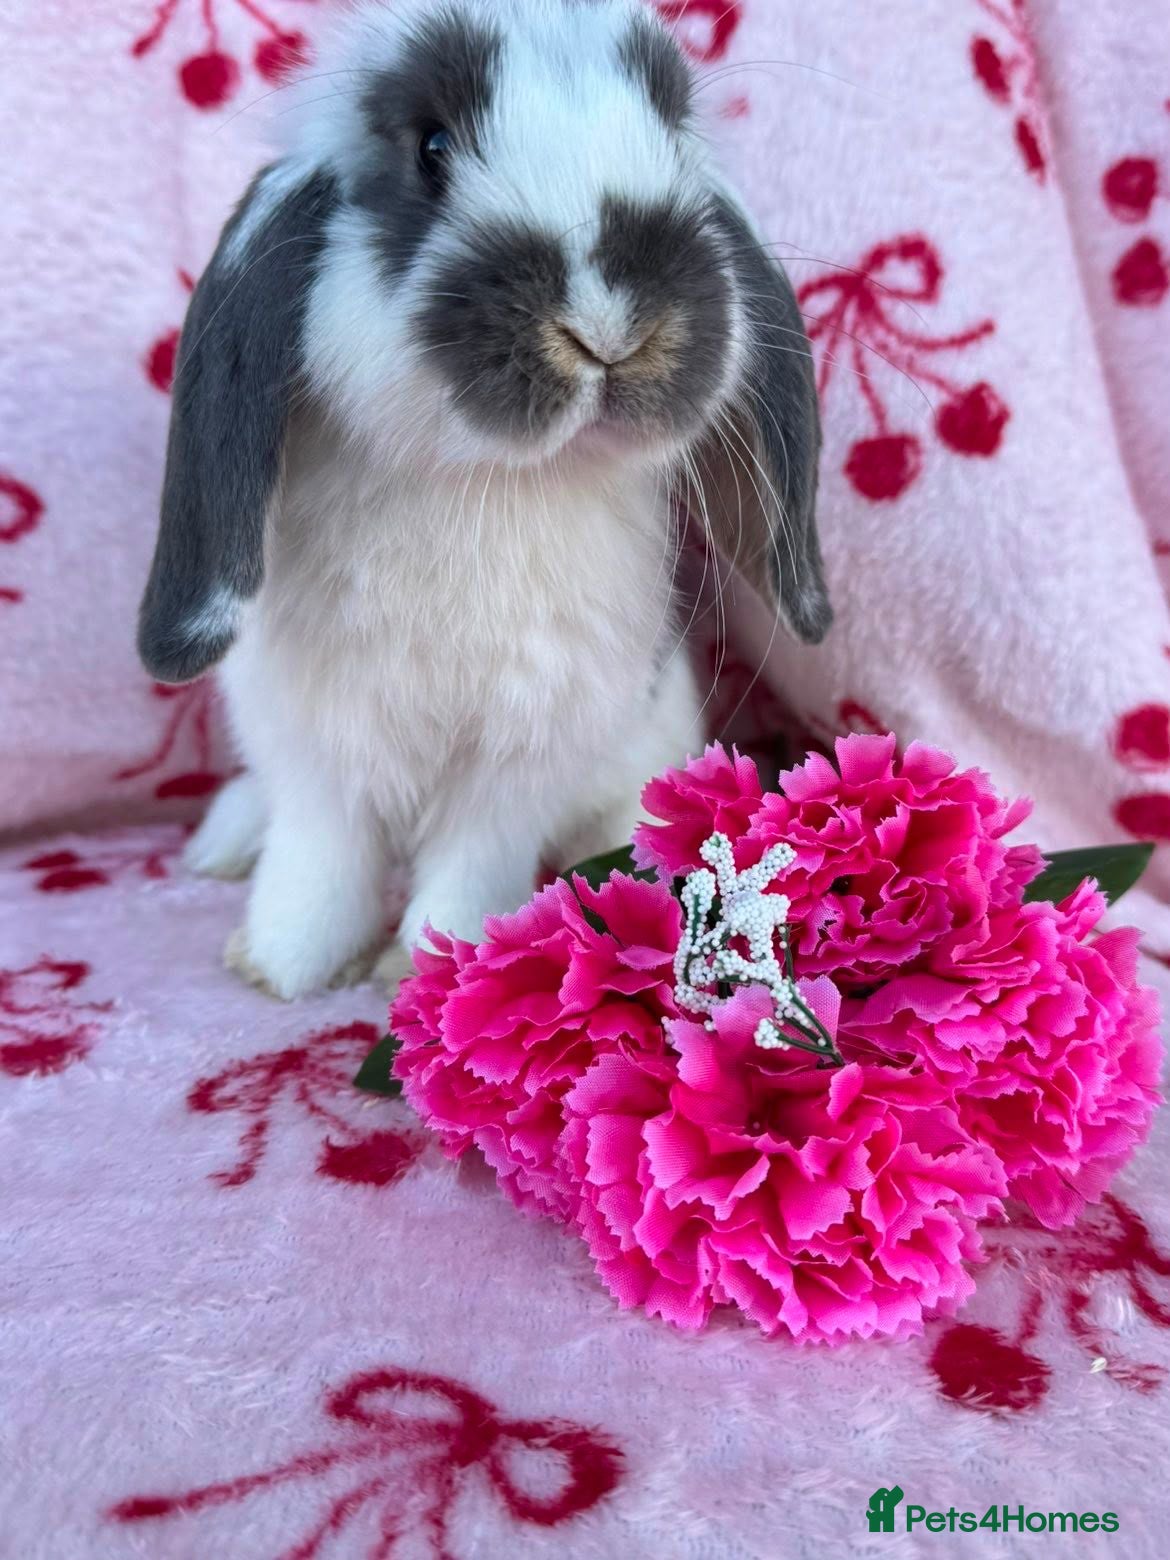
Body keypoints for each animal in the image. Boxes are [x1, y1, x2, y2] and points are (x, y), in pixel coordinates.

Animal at [136, 0, 830, 1000]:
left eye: (671, 129)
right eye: (430, 148)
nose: (611, 318)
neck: (483, 481)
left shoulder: (522, 750)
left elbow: (472, 860)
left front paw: (433, 968)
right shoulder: (312, 735)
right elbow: (322, 853)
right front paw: (279, 966)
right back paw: (219, 846)